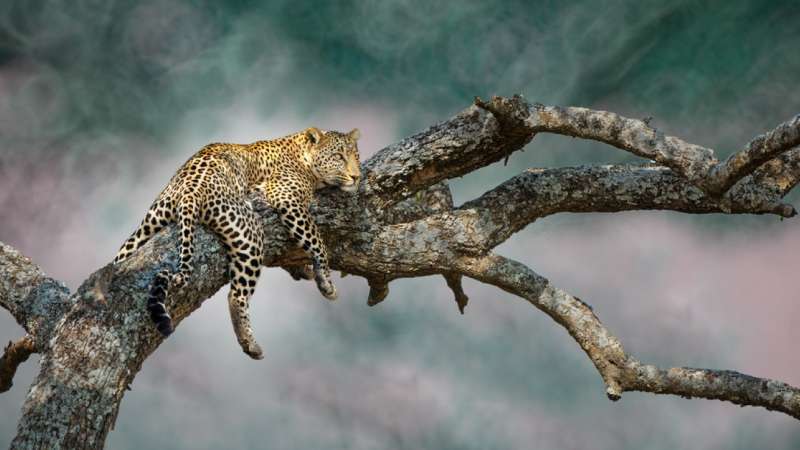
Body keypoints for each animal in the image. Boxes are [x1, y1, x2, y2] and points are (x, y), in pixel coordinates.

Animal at [113, 127, 361, 359]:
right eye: (339, 156)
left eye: (356, 156)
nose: (357, 177)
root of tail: (190, 190)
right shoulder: (287, 198)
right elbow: (317, 240)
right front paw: (326, 282)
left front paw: (305, 269)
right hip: (250, 232)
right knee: (236, 295)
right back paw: (250, 343)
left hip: (147, 226)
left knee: (119, 259)